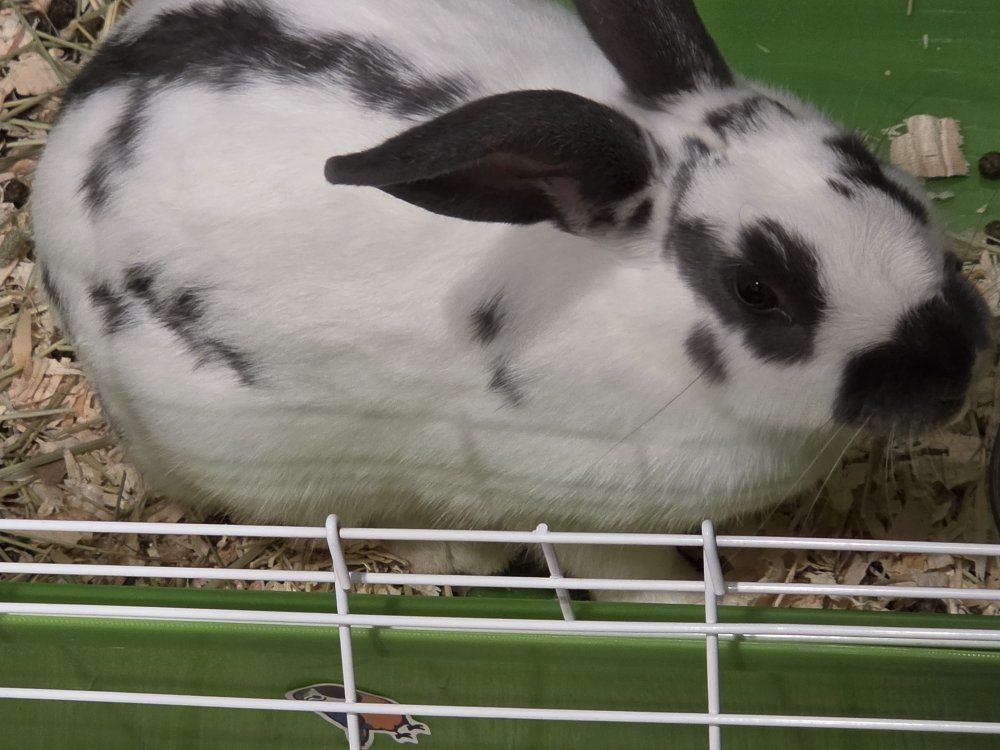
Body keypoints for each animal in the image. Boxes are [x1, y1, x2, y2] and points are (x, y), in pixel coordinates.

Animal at [30, 0, 992, 602]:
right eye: (756, 290)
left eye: (874, 167)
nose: (950, 375)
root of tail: (82, 103)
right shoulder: (590, 516)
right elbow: (630, 576)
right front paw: (709, 604)